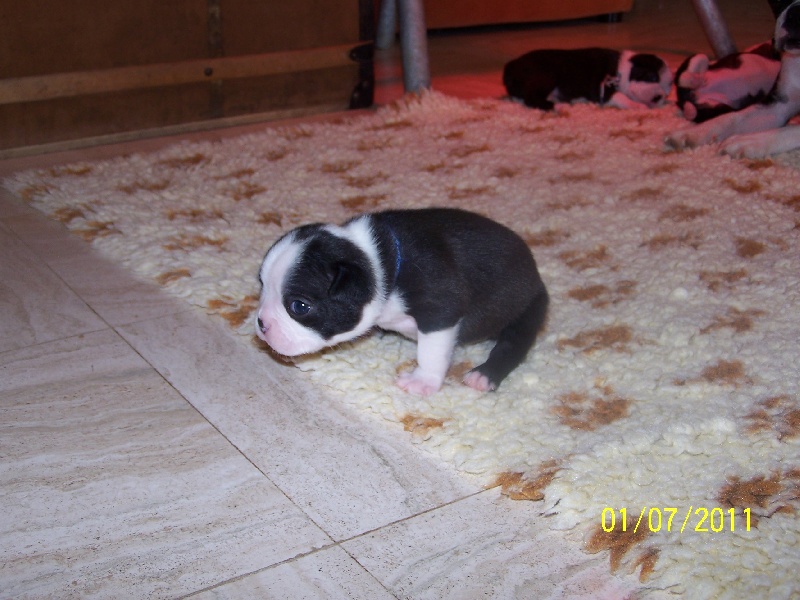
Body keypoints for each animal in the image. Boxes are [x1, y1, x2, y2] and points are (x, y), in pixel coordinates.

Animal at [255, 208, 549, 396]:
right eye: (262, 286)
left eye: (299, 306)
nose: (261, 323)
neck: (378, 262)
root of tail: (537, 277)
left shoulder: (440, 308)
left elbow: (431, 352)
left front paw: (423, 382)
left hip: (526, 310)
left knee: (513, 343)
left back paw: (484, 375)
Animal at [503, 47, 672, 111]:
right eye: (652, 77)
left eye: (667, 92)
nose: (658, 97)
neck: (622, 70)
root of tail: (512, 65)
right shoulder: (602, 89)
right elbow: (621, 97)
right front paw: (637, 106)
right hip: (546, 77)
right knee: (530, 98)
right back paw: (557, 106)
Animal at [667, 0, 800, 157]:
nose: (796, 12)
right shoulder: (778, 106)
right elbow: (732, 118)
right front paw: (693, 132)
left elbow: (791, 129)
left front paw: (750, 140)